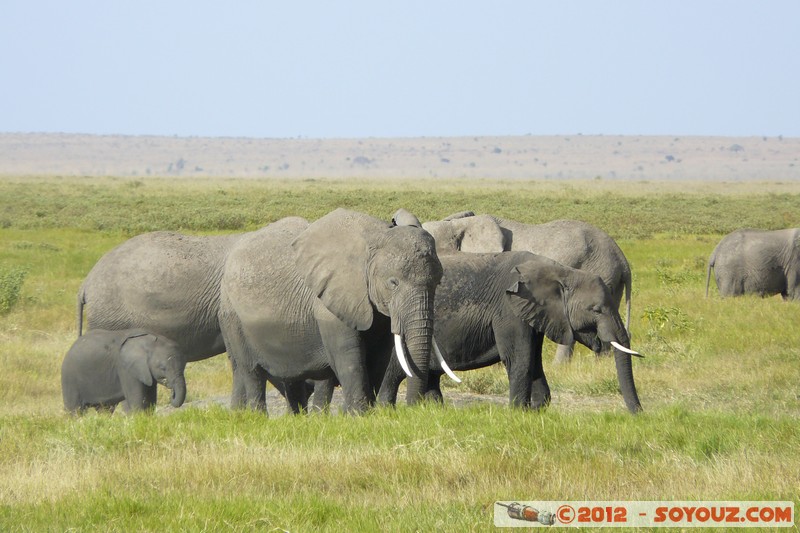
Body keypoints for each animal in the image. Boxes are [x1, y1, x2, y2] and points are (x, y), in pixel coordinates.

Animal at [217, 207, 444, 412]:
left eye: (438, 283)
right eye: (393, 283)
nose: (415, 408)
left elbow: (379, 359)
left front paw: (369, 414)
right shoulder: (331, 303)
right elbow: (349, 359)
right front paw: (359, 415)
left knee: (290, 378)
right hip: (232, 317)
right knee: (251, 371)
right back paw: (258, 416)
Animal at [378, 251, 648, 414]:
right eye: (596, 310)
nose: (639, 415)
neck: (560, 272)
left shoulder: (534, 314)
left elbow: (534, 361)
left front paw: (536, 410)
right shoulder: (509, 310)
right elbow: (520, 359)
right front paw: (518, 411)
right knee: (395, 371)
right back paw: (386, 409)